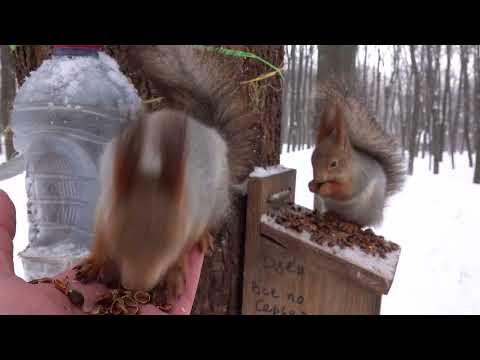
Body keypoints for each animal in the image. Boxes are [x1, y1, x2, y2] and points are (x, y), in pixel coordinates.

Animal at [75, 45, 255, 298]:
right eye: (116, 241)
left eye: (171, 247)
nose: (136, 287)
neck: (151, 165)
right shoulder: (103, 211)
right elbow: (100, 241)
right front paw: (93, 263)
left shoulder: (191, 220)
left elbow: (182, 253)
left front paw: (174, 277)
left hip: (217, 201)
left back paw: (204, 237)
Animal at [308, 83, 404, 226]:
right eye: (312, 159)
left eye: (334, 164)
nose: (318, 180)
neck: (349, 167)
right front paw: (311, 185)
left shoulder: (359, 178)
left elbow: (345, 191)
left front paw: (325, 188)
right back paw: (331, 215)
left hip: (367, 212)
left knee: (361, 224)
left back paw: (351, 226)